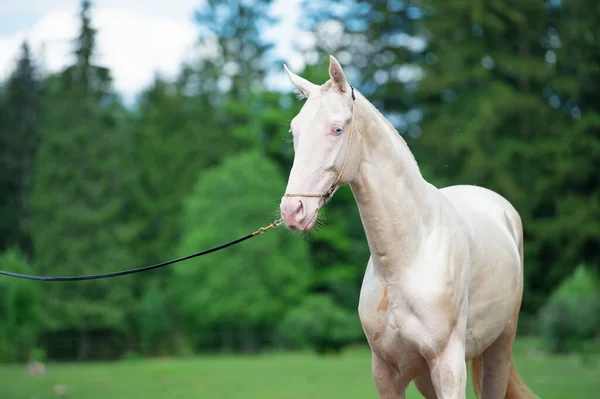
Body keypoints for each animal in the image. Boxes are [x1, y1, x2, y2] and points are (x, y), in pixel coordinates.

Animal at [282, 56, 540, 399]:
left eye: (336, 129)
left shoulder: (449, 368)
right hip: (425, 377)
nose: (292, 210)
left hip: (499, 349)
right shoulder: (387, 374)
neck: (406, 260)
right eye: (294, 131)